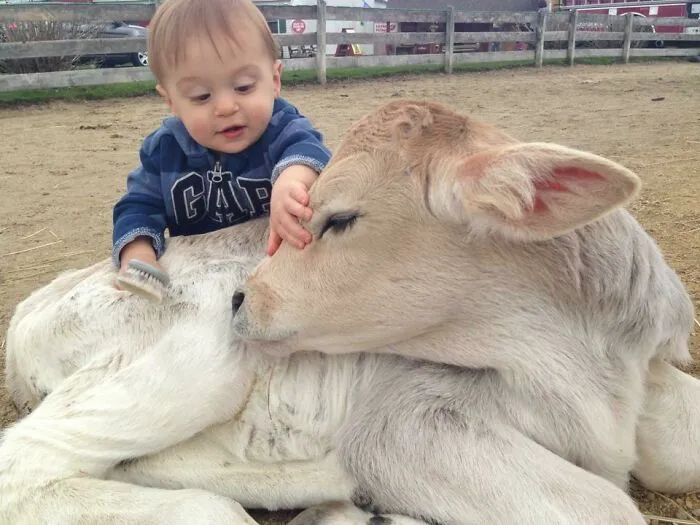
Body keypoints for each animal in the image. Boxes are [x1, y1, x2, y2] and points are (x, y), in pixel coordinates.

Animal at [0, 99, 697, 525]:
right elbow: (608, 507)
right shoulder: (404, 422)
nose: (244, 297)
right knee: (31, 465)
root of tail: (45, 298)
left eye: (339, 218)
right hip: (190, 356)